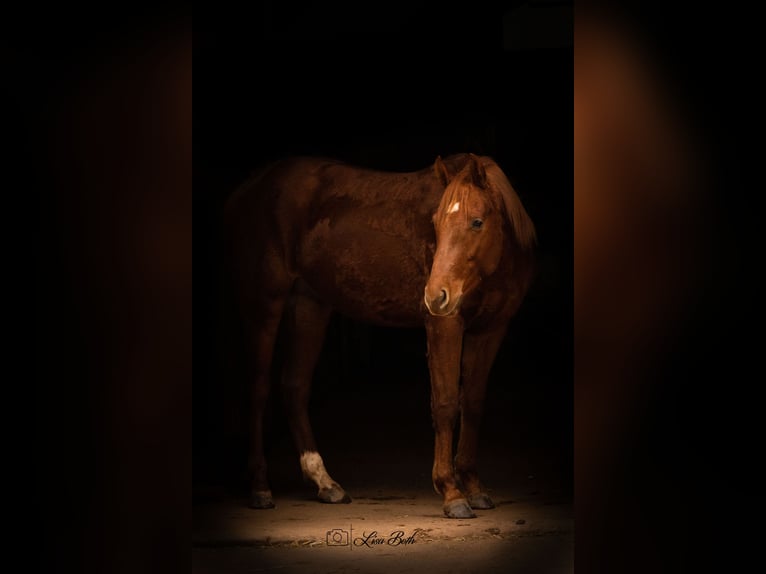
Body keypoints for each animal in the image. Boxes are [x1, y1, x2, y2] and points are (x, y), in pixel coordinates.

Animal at [225, 153, 536, 520]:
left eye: (477, 222)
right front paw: (451, 492)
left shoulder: (491, 330)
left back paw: (325, 483)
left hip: (309, 305)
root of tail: (249, 188)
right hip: (264, 303)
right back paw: (260, 487)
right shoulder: (445, 323)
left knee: (294, 387)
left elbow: (472, 403)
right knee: (259, 390)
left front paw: (474, 487)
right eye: (436, 224)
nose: (435, 295)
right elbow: (446, 403)